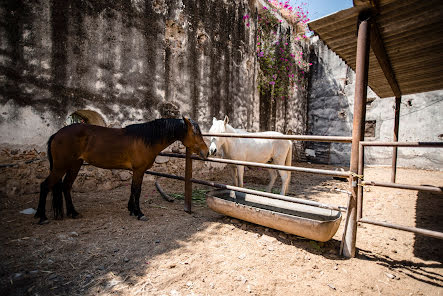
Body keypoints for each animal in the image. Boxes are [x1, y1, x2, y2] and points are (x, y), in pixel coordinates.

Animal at [34, 117, 208, 223]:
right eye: (195, 133)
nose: (206, 152)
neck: (146, 139)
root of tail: (57, 134)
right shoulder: (139, 170)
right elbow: (137, 190)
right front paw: (139, 213)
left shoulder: (137, 171)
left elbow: (133, 189)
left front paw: (131, 210)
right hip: (60, 167)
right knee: (45, 186)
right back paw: (42, 216)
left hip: (74, 165)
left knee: (66, 186)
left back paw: (73, 212)